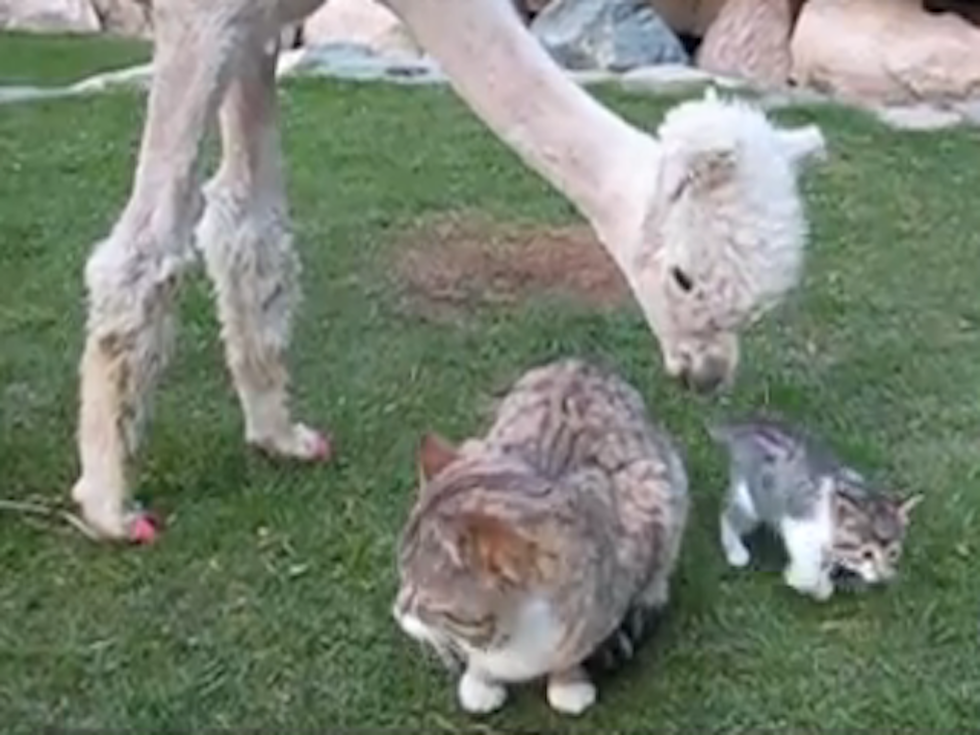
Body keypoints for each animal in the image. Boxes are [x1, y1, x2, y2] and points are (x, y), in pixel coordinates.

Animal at [390, 360, 688, 716]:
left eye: (422, 598)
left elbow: (577, 645)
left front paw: (567, 683)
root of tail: (584, 361)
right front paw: (480, 679)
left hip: (664, 483)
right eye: (402, 580)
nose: (396, 611)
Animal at [704, 416, 920, 600]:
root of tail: (748, 427)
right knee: (729, 513)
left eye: (893, 553)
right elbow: (808, 566)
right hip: (753, 499)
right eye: (867, 554)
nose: (883, 576)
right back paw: (735, 551)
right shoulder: (798, 522)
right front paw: (806, 583)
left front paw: (823, 582)